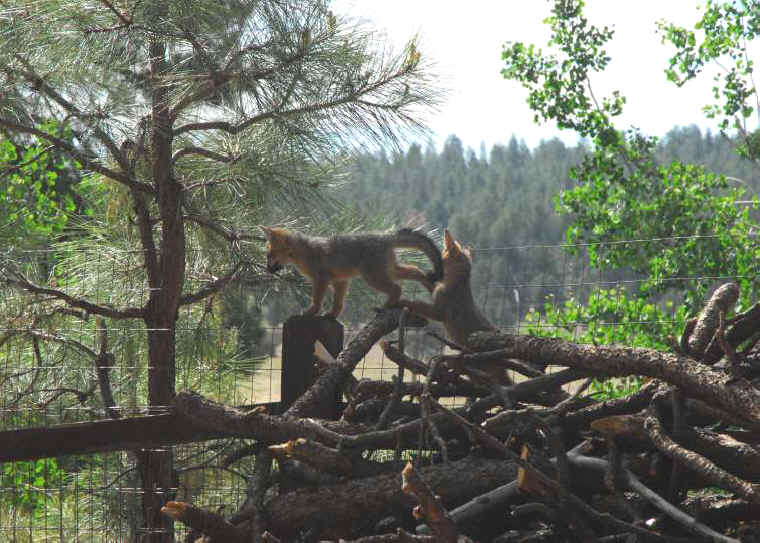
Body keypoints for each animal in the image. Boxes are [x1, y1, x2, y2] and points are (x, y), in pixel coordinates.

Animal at [260, 226, 443, 319]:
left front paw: (311, 312)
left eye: (269, 255)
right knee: (416, 270)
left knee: (397, 288)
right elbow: (338, 303)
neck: (305, 250)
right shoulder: (340, 281)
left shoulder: (321, 280)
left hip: (373, 278)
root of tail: (385, 236)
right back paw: (430, 286)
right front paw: (332, 315)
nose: (267, 269)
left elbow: (317, 300)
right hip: (389, 272)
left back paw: (385, 307)